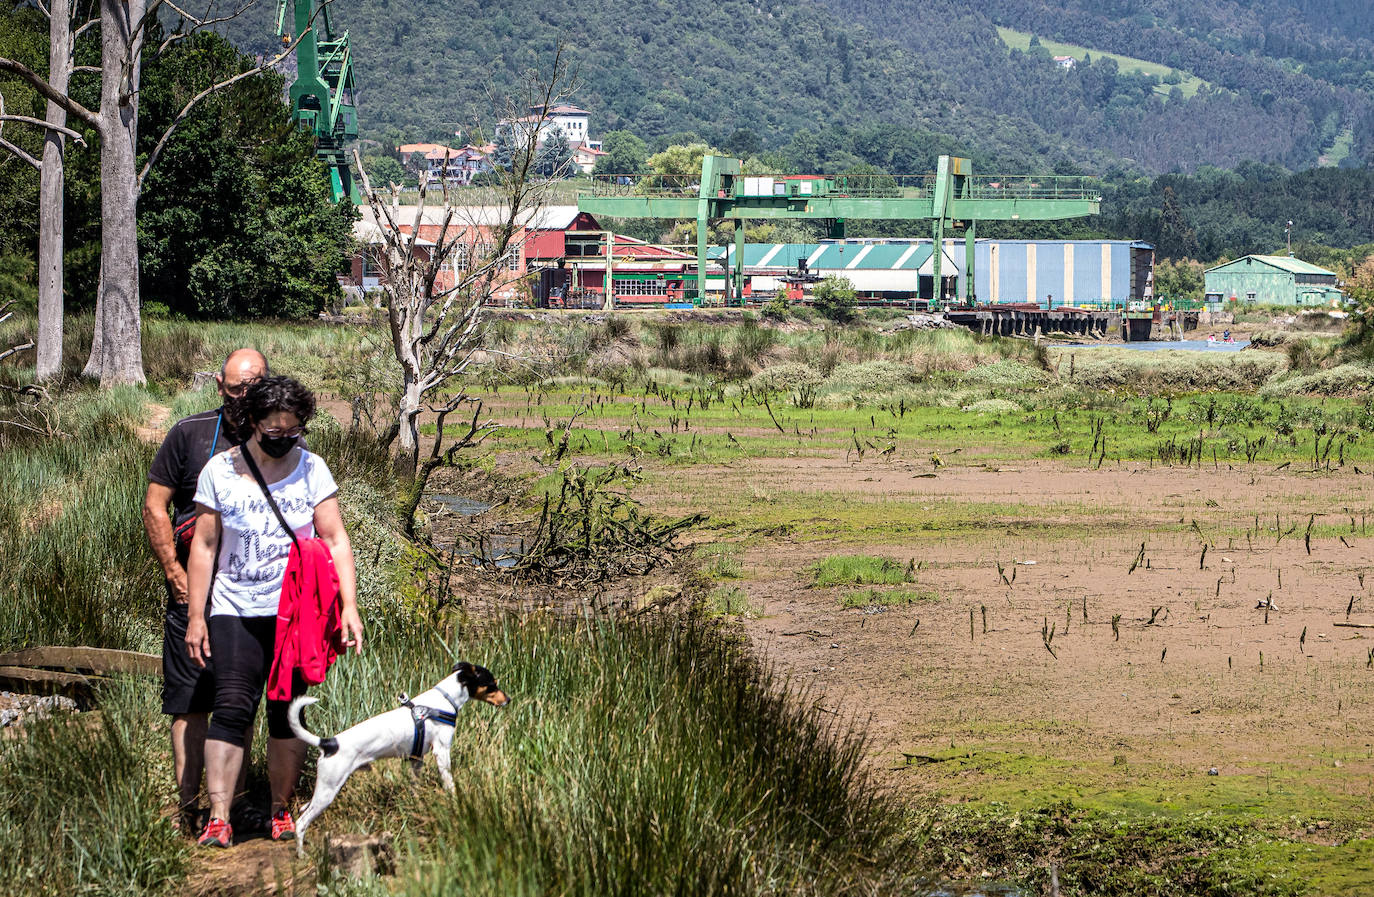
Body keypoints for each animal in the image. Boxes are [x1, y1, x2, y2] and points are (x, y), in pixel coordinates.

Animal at [288, 662, 511, 851]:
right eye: (492, 684)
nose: (509, 700)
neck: (444, 701)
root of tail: (329, 743)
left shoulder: (416, 760)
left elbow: (415, 787)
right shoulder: (442, 751)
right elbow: (450, 783)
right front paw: (455, 802)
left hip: (324, 789)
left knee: (304, 810)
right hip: (328, 790)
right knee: (301, 823)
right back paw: (301, 854)